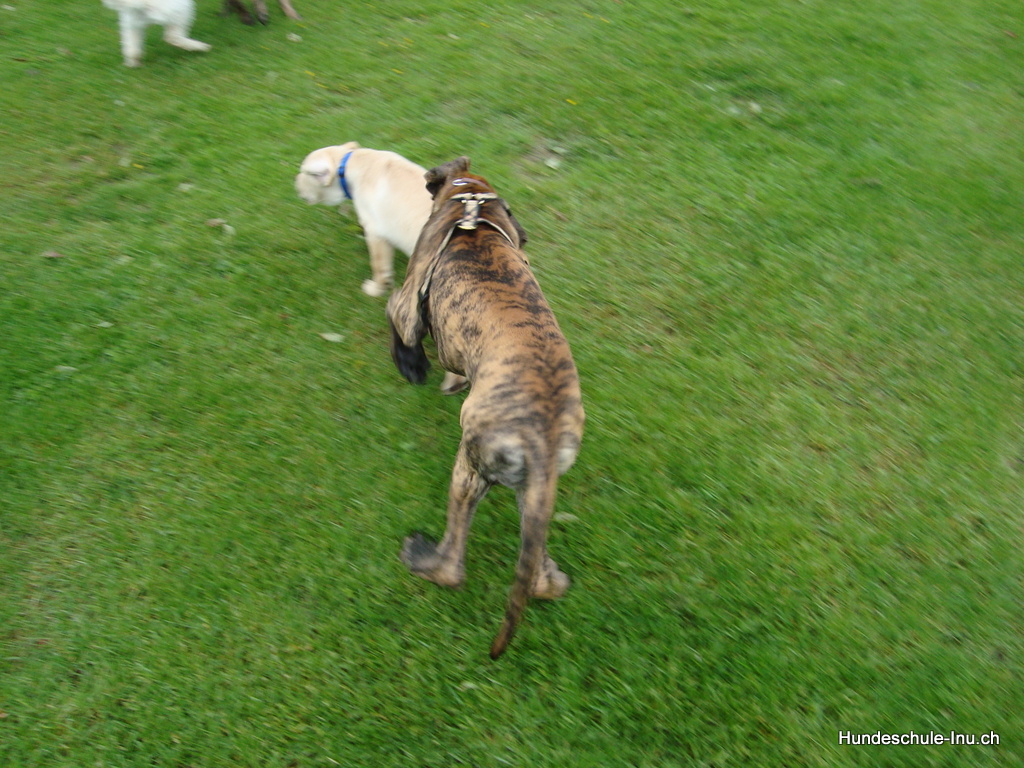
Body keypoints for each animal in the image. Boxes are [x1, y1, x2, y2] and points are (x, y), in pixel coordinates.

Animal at [387, 157, 584, 659]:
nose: (526, 235)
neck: (470, 204)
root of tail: (543, 434)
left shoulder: (406, 303)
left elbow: (397, 322)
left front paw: (411, 364)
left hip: (470, 468)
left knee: (453, 565)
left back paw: (422, 558)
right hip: (531, 494)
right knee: (541, 579)